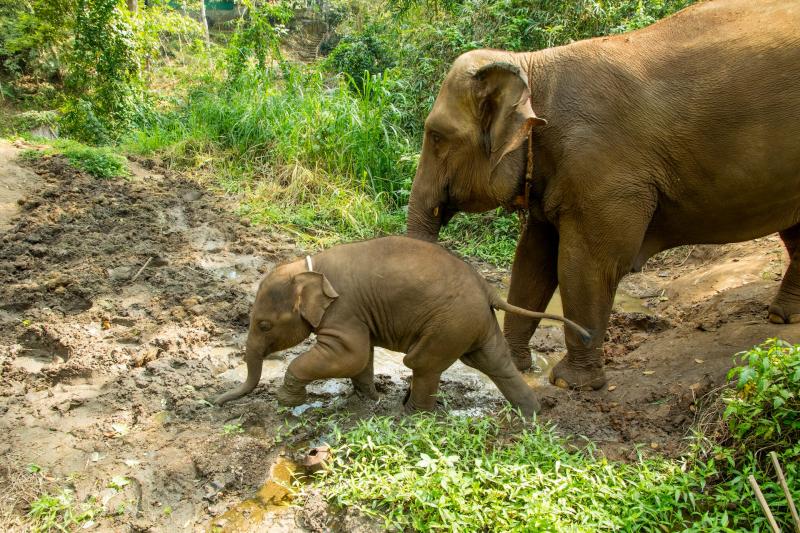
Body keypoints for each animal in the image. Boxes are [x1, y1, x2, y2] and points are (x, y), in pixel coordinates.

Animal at [213, 236, 589, 416]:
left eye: (263, 325)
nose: (214, 401)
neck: (307, 267)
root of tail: (488, 288)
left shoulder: (343, 311)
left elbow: (349, 353)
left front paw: (286, 401)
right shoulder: (356, 315)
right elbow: (360, 357)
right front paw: (367, 398)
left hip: (450, 323)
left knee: (422, 363)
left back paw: (410, 415)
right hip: (474, 323)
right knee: (494, 363)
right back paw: (532, 415)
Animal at [406, 0, 800, 390]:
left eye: (437, 137)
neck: (531, 67)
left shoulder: (602, 169)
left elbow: (586, 264)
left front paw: (569, 383)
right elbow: (533, 258)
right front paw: (516, 367)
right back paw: (782, 317)